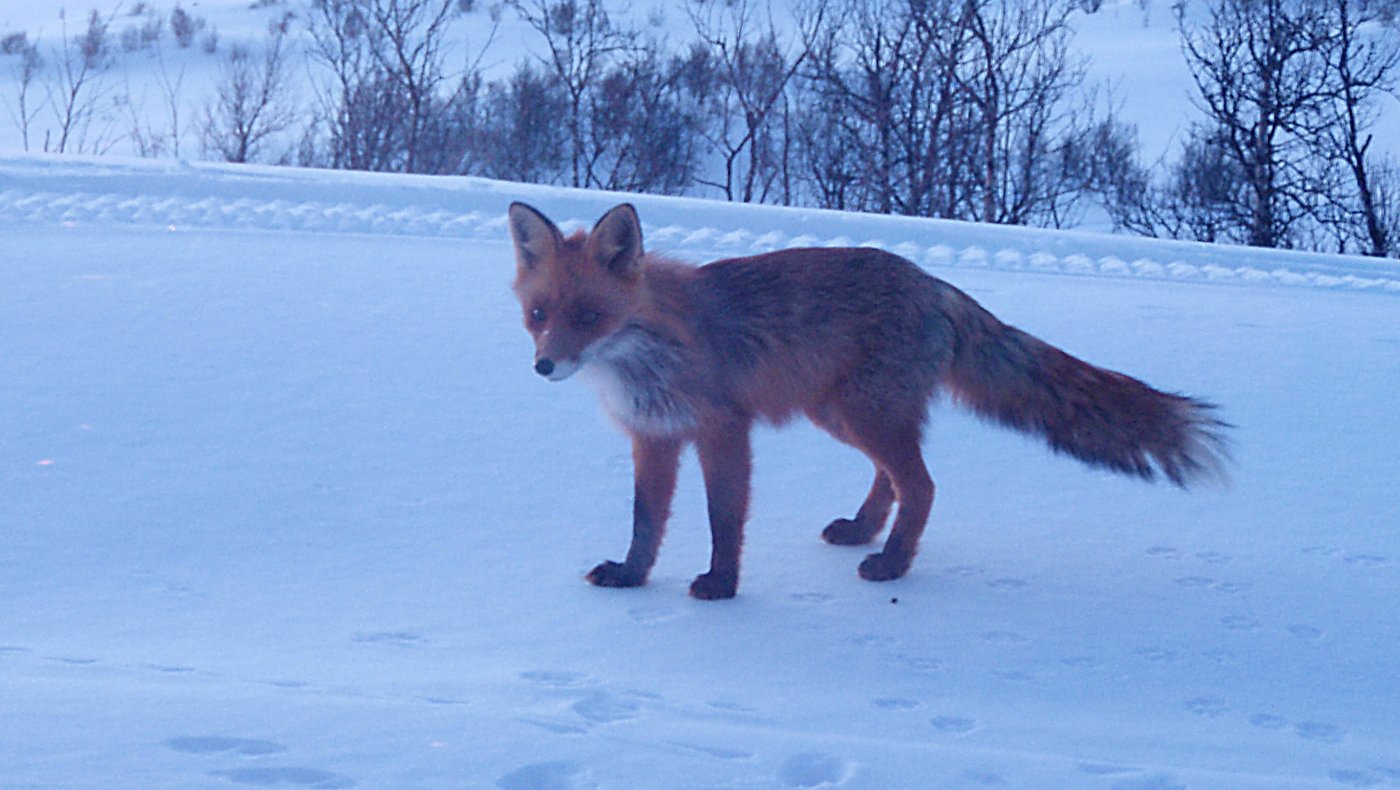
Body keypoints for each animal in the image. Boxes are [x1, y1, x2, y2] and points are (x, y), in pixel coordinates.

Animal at [506, 198, 1226, 599]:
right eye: (539, 313)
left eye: (590, 316)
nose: (544, 366)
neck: (644, 359)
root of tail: (934, 283)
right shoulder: (653, 437)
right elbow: (645, 523)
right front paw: (632, 579)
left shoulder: (722, 430)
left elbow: (722, 520)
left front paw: (723, 587)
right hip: (842, 413)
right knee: (893, 479)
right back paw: (863, 532)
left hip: (861, 412)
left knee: (923, 485)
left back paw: (894, 563)